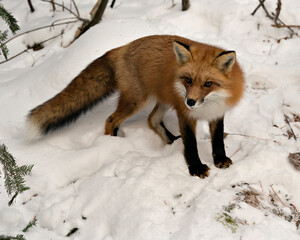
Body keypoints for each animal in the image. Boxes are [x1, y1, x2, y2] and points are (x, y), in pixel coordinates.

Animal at [27, 35, 245, 178]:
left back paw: (171, 141)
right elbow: (191, 144)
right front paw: (196, 168)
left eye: (208, 84)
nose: (190, 101)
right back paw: (113, 144)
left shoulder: (217, 113)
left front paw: (220, 160)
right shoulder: (185, 114)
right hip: (138, 101)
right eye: (188, 80)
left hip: (161, 100)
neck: (207, 106)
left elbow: (218, 140)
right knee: (111, 120)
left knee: (152, 120)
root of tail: (123, 47)